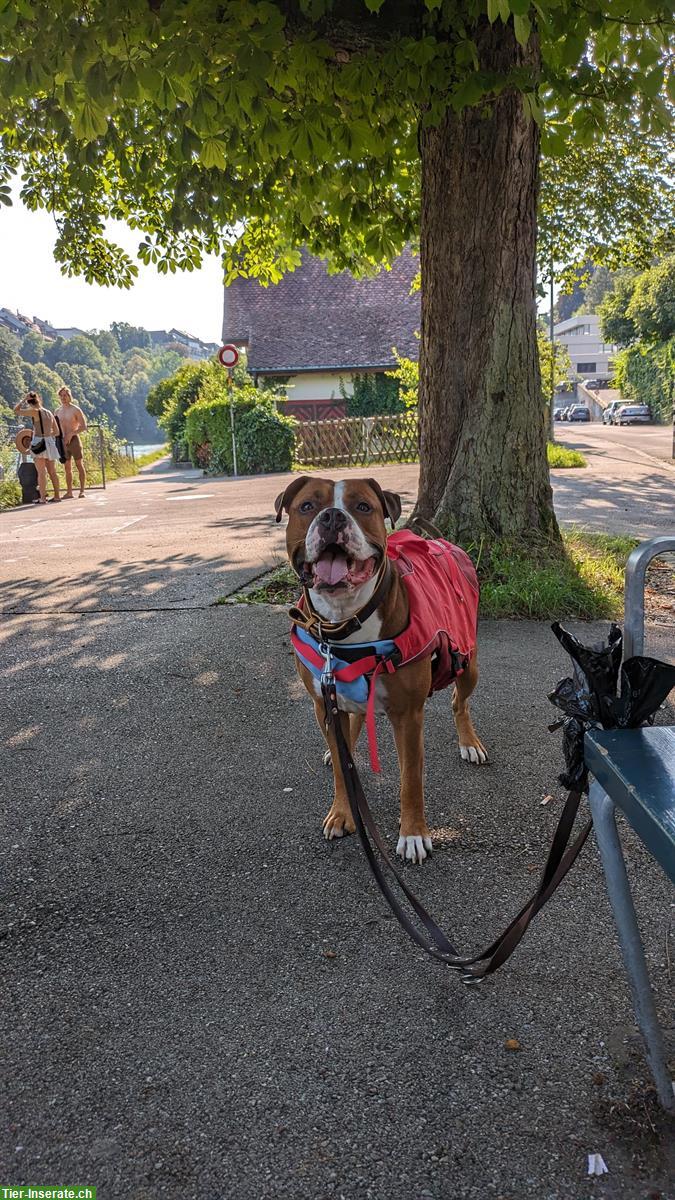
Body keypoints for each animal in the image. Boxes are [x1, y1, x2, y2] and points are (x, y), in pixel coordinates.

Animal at [270, 475, 485, 864]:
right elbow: (344, 771)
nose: (331, 517)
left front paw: (413, 834)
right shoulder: (324, 703)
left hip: (468, 662)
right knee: (352, 723)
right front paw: (342, 813)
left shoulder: (409, 715)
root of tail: (442, 541)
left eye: (363, 507)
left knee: (459, 702)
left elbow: (410, 778)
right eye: (307, 506)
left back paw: (470, 743)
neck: (345, 622)